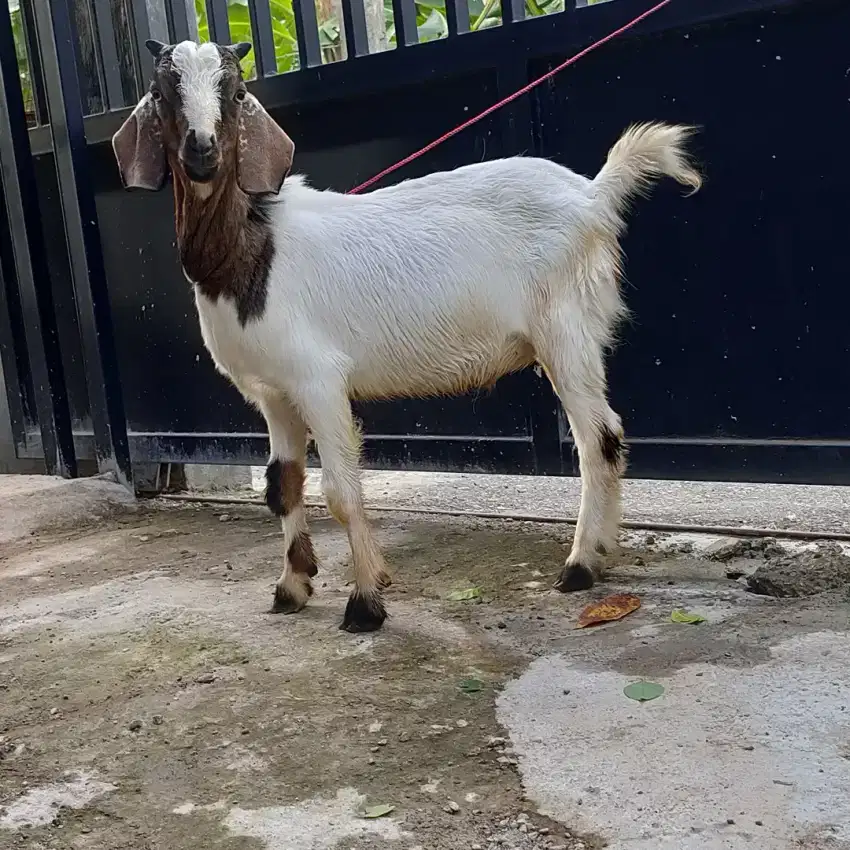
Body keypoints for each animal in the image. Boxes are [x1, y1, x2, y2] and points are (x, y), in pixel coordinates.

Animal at [109, 39, 700, 632]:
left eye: (234, 93)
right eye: (161, 93)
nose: (202, 150)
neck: (252, 249)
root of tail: (595, 196)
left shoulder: (318, 380)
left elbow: (340, 491)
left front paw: (366, 601)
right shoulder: (273, 394)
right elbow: (283, 485)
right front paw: (292, 586)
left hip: (567, 330)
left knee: (598, 439)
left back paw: (579, 566)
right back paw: (596, 558)